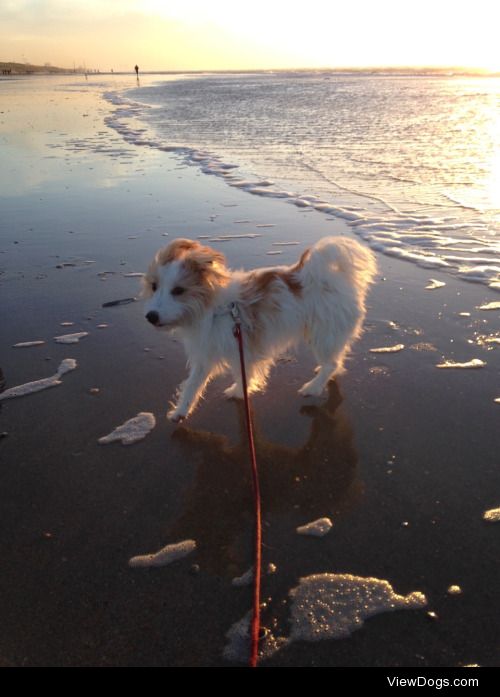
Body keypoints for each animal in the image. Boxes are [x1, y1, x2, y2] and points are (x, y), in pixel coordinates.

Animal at [143, 234, 376, 422]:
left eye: (178, 290)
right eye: (154, 286)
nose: (150, 316)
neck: (215, 308)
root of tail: (331, 280)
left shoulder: (241, 349)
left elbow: (242, 374)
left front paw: (239, 391)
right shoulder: (206, 354)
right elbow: (193, 384)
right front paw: (181, 411)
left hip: (323, 335)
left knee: (332, 363)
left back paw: (313, 387)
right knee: (335, 361)